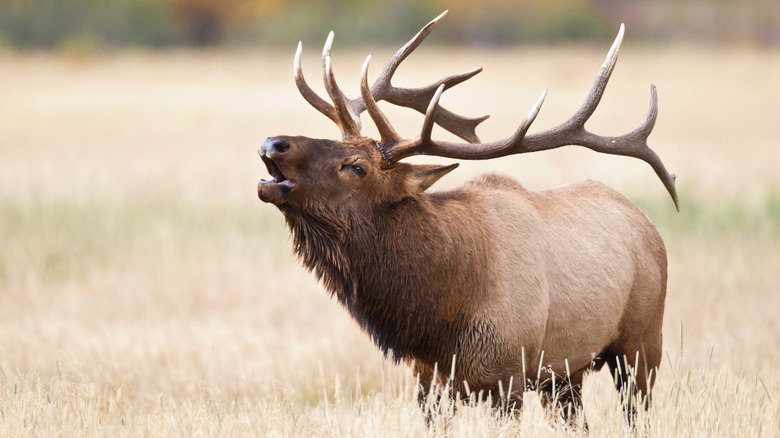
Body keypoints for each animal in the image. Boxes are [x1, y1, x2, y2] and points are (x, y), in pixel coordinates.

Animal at [256, 11, 677, 426]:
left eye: (357, 167)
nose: (273, 143)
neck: (439, 318)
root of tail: (648, 225)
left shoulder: (508, 374)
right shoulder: (428, 381)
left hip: (642, 342)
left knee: (639, 411)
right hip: (564, 374)